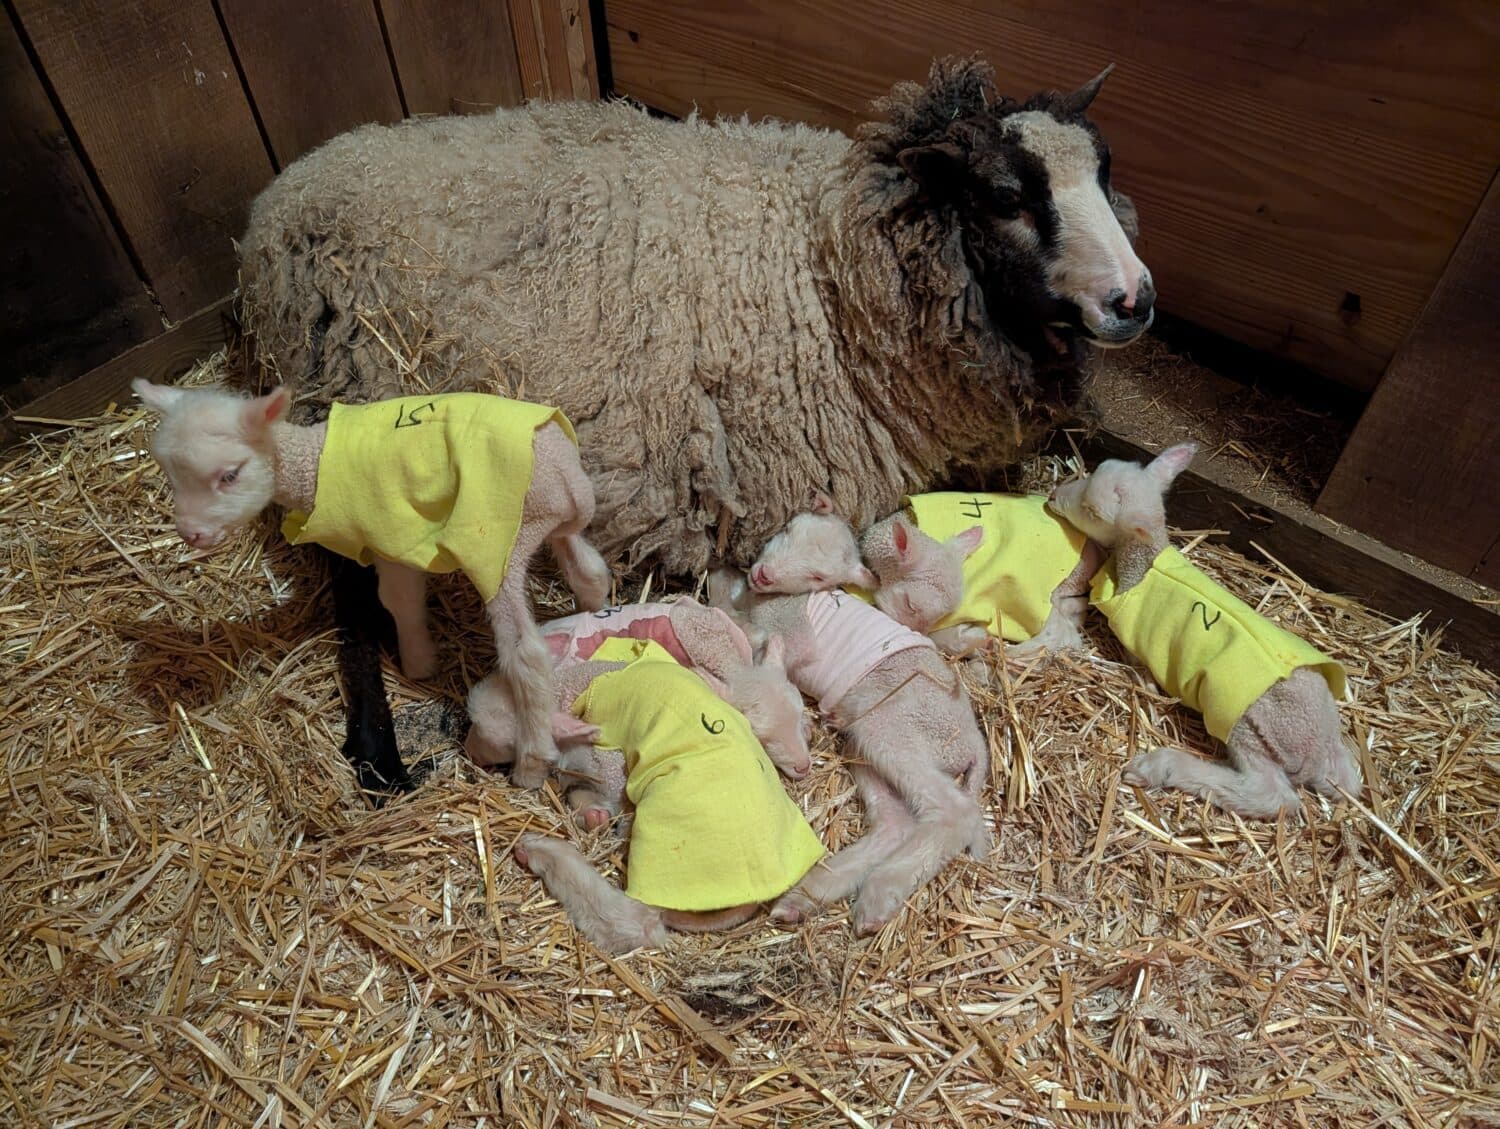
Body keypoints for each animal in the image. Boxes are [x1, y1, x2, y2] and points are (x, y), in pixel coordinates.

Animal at [130, 381, 612, 790]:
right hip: (547, 524)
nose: (190, 534)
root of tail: (566, 474)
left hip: (496, 545)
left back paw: (532, 762)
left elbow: (399, 600)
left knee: (526, 654)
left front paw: (418, 663)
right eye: (170, 475)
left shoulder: (390, 536)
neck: (312, 463)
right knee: (589, 570)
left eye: (229, 474)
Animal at [713, 515, 991, 935]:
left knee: (955, 811)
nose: (760, 573)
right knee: (895, 822)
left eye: (817, 576)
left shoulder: (787, 630)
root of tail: (974, 744)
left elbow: (752, 635)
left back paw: (879, 894)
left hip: (894, 729)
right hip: (863, 742)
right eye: (786, 532)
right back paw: (807, 895)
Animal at [1047, 443, 1363, 818]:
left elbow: (1140, 668)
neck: (1144, 565)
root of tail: (1319, 751)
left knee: (1272, 796)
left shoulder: (1136, 641)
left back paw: (1159, 766)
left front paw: (1144, 685)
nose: (1053, 496)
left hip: (1249, 729)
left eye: (1089, 510)